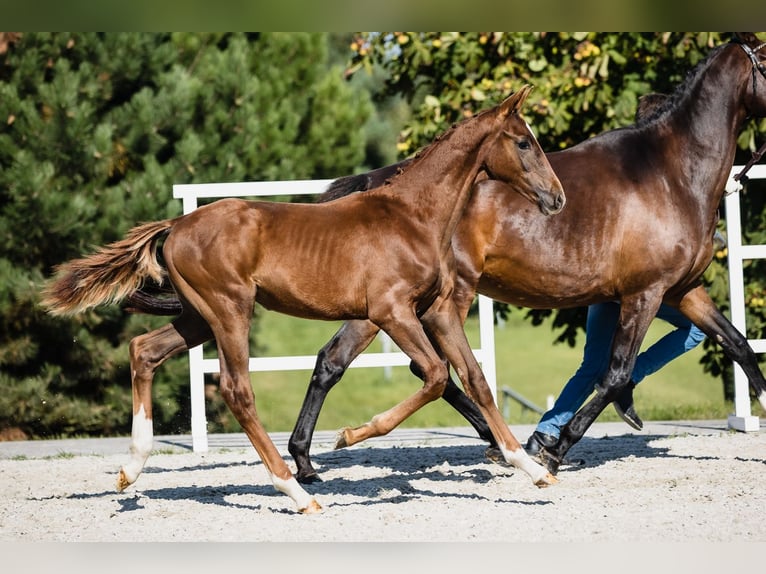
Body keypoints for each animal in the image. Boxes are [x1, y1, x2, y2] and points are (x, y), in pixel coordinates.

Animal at [43, 86, 568, 516]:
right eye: (523, 142)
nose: (557, 198)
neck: (413, 216)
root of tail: (176, 225)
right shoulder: (390, 312)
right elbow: (437, 375)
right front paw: (349, 435)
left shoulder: (435, 310)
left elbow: (476, 379)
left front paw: (533, 469)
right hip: (229, 310)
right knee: (237, 389)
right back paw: (297, 492)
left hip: (198, 317)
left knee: (144, 352)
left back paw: (131, 470)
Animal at [280, 31, 766, 482]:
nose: (556, 199)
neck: (670, 173)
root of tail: (382, 184)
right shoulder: (646, 293)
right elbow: (615, 374)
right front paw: (556, 450)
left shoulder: (683, 291)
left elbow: (738, 344)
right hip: (431, 299)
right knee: (422, 368)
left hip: (387, 307)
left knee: (336, 361)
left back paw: (306, 461)